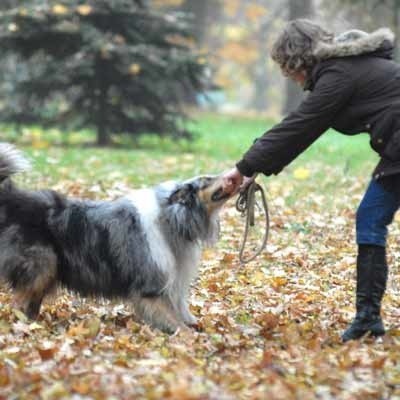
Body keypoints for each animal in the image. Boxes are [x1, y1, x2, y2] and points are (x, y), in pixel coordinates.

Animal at [0, 143, 234, 332]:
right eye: (207, 180)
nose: (234, 175)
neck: (172, 218)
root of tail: (13, 199)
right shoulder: (150, 288)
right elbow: (175, 322)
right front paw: (189, 338)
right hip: (43, 265)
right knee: (18, 304)